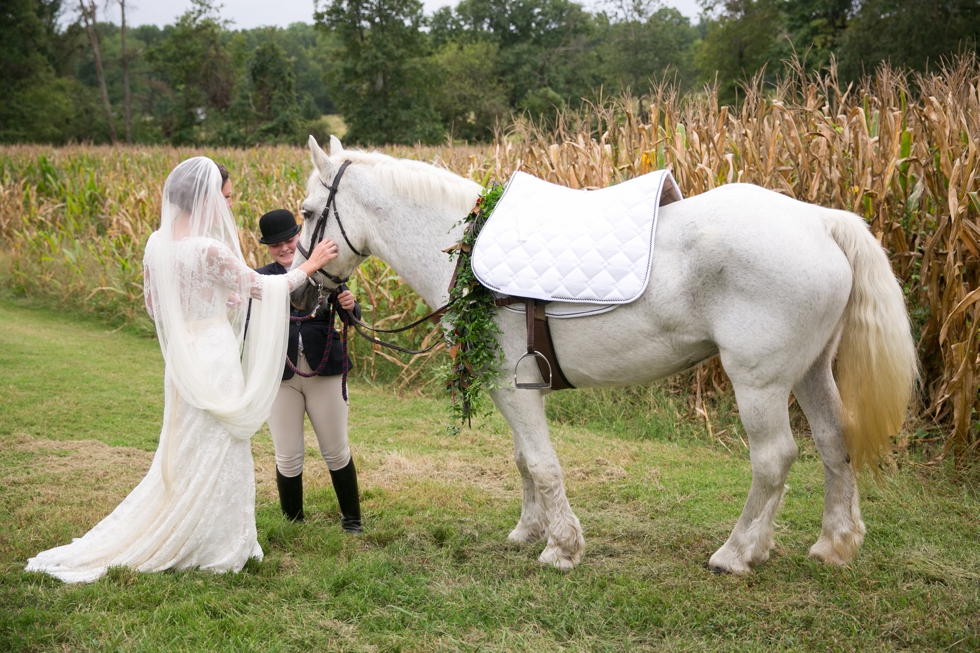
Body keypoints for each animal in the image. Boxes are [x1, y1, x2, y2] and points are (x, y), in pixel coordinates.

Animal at [292, 135, 920, 572]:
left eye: (307, 213)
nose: (300, 292)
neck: (464, 246)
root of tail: (820, 220)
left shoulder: (511, 386)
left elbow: (542, 462)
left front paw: (562, 549)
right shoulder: (515, 387)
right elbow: (524, 461)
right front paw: (530, 532)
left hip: (759, 383)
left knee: (774, 460)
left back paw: (735, 553)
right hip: (811, 372)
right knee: (835, 443)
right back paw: (831, 543)